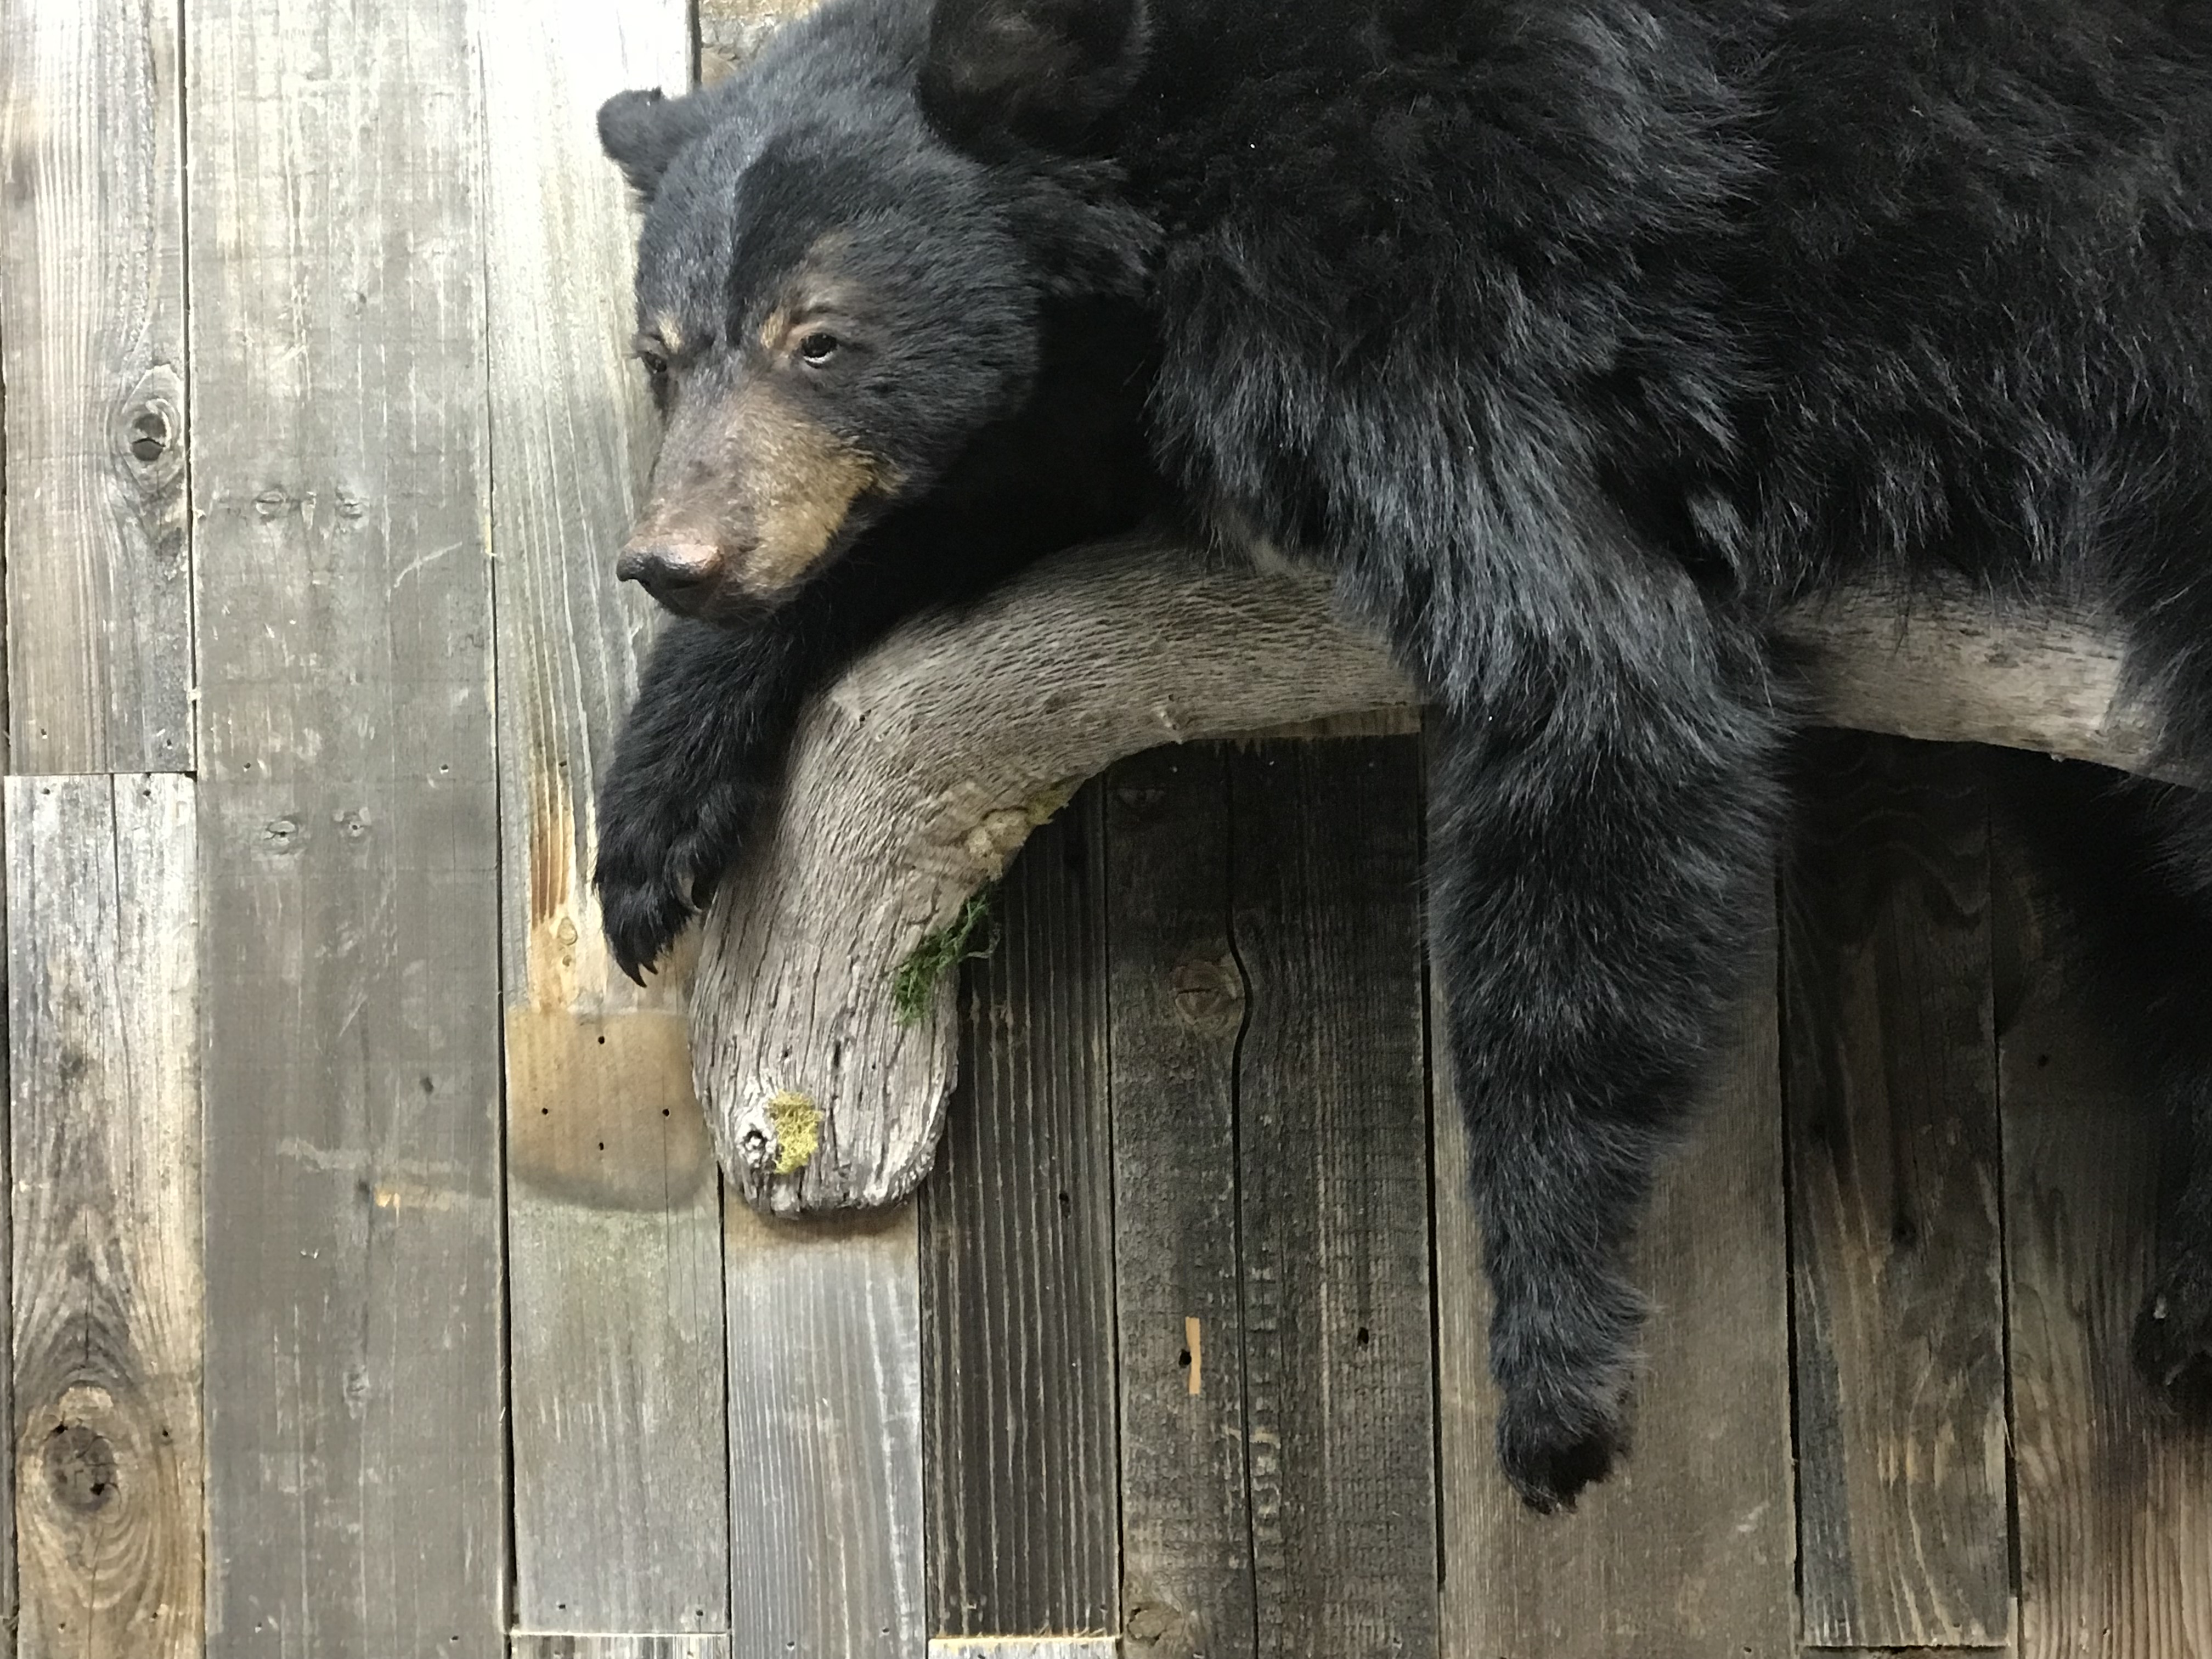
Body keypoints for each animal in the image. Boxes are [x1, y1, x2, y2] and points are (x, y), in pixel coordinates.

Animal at [592, 0, 2212, 1512]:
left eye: (822, 335)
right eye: (663, 358)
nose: (670, 559)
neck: (1166, 150)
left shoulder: (1391, 271)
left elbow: (1595, 675)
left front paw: (1554, 1376)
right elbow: (982, 495)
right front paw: (651, 827)